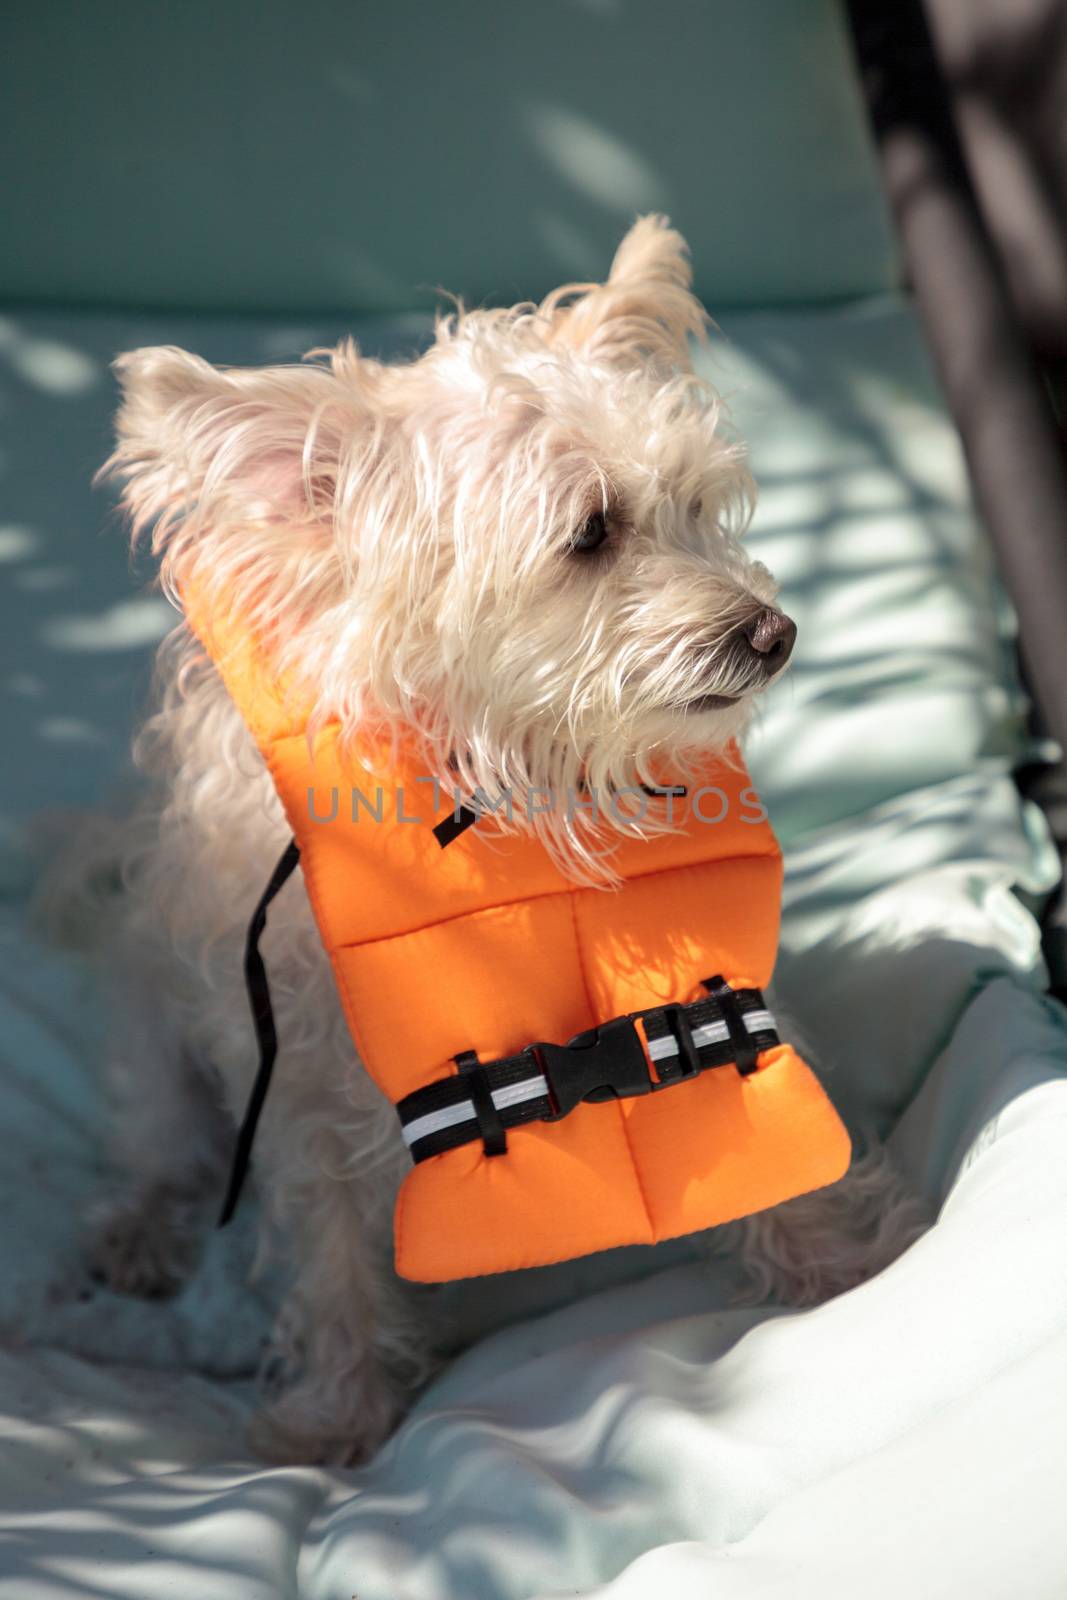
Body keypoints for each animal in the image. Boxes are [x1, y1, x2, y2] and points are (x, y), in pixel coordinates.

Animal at [77, 222, 927, 1465]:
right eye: (589, 533)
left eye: (694, 506)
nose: (774, 632)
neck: (507, 785)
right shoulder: (301, 1085)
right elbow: (329, 1259)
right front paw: (333, 1415)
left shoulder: (711, 998)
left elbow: (752, 1106)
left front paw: (837, 1264)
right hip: (152, 1027)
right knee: (160, 1143)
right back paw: (137, 1229)